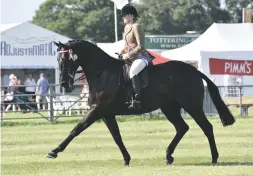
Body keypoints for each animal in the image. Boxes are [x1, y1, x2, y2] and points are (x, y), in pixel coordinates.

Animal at [47, 39, 235, 165]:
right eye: (58, 60)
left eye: (66, 59)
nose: (64, 84)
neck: (103, 73)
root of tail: (195, 71)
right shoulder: (106, 113)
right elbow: (116, 136)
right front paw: (126, 159)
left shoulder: (96, 110)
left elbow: (76, 129)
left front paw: (54, 151)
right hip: (169, 107)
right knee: (182, 128)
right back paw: (168, 156)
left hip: (191, 106)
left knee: (206, 127)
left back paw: (214, 157)